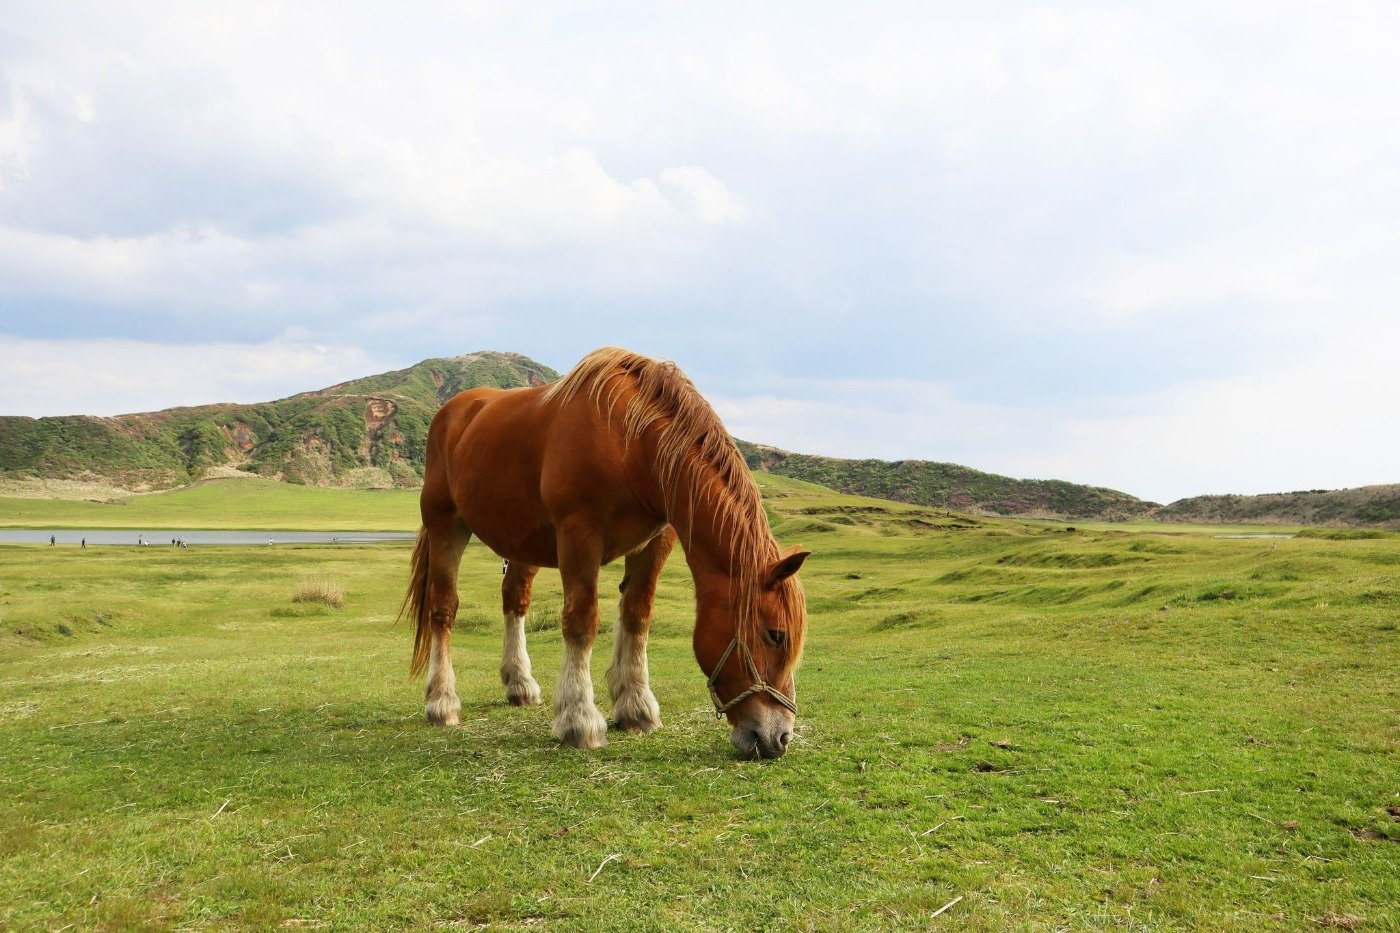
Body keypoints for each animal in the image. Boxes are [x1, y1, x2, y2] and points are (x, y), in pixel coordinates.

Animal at [401, 348, 810, 758]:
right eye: (776, 635)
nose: (780, 736)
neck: (632, 445)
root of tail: (452, 411)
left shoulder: (656, 541)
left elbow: (637, 617)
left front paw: (636, 706)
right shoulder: (578, 536)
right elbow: (581, 622)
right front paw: (579, 719)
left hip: (520, 540)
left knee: (515, 600)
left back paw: (519, 684)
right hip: (445, 526)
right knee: (443, 608)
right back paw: (441, 701)